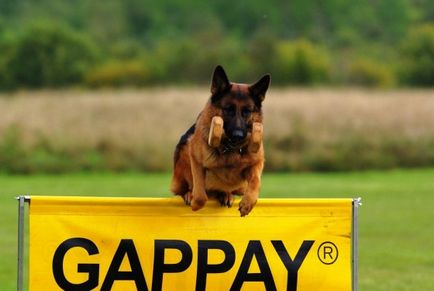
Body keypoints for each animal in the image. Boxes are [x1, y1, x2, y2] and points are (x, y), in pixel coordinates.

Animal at [171, 66, 270, 217]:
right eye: (228, 109)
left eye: (247, 111)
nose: (238, 135)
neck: (231, 151)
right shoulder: (194, 156)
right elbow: (200, 191)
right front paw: (195, 202)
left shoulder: (257, 162)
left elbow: (255, 181)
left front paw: (247, 203)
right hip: (183, 154)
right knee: (184, 189)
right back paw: (188, 194)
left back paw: (226, 195)